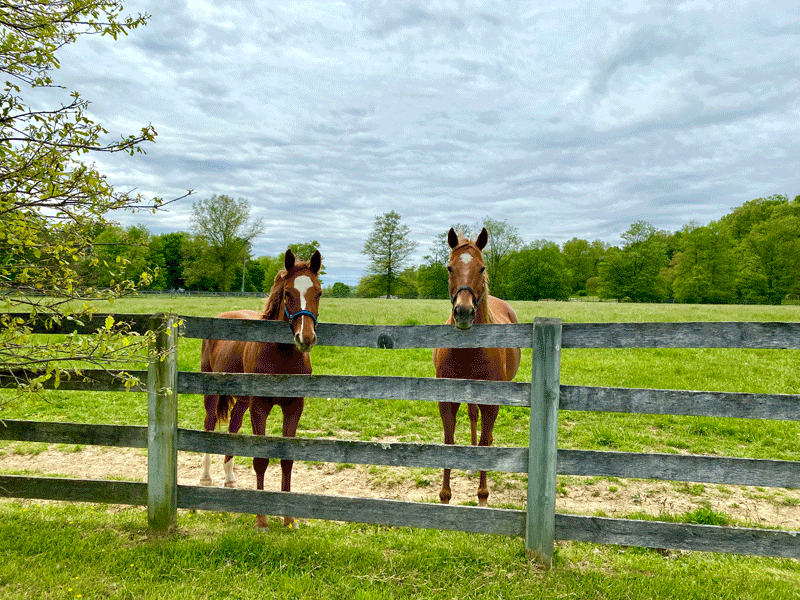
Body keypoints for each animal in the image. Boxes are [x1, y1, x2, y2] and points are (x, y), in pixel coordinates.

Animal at [200, 248, 322, 528]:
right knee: (209, 424)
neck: (281, 356)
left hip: (243, 400)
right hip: (212, 391)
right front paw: (261, 519)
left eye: (319, 292)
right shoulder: (260, 407)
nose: (306, 338)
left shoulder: (293, 407)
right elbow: (261, 459)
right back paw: (206, 478)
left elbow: (287, 460)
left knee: (233, 426)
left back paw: (230, 479)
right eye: (288, 293)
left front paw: (289, 518)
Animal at [432, 227, 521, 507]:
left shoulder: (491, 402)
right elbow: (449, 442)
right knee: (472, 416)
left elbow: (484, 444)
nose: (463, 312)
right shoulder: (446, 400)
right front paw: (445, 496)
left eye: (481, 268)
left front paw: (482, 496)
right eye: (449, 268)